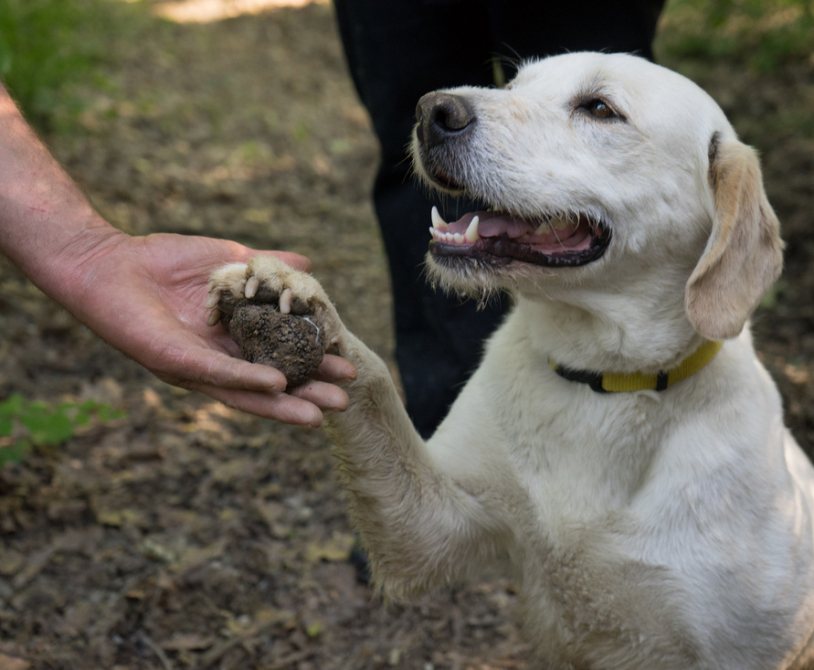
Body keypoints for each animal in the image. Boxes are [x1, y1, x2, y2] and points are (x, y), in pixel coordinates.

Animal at [207, 53, 814, 670]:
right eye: (517, 83)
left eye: (600, 109)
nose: (432, 110)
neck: (603, 382)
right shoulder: (431, 529)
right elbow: (371, 380)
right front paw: (293, 297)